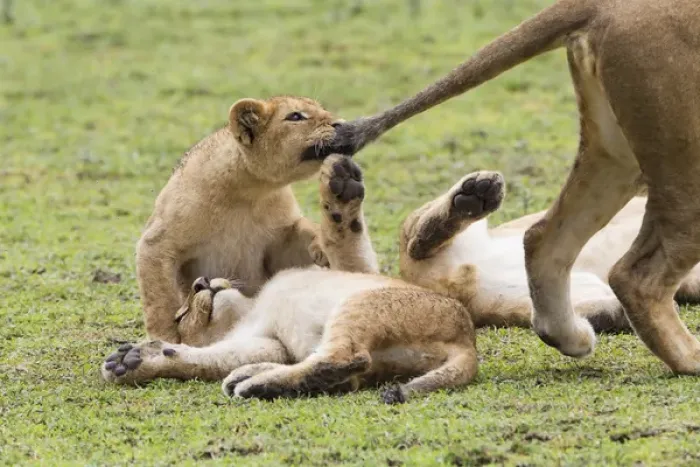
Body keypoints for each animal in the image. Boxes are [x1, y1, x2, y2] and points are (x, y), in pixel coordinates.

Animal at [103, 157, 479, 404]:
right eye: (182, 314)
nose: (202, 282)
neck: (248, 311)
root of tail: (466, 341)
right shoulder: (262, 341)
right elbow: (205, 356)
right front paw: (131, 361)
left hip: (361, 303)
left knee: (345, 358)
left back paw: (252, 382)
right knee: (346, 364)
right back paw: (254, 382)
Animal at [136, 96, 353, 345]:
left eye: (322, 109)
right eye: (295, 116)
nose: (342, 125)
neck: (249, 192)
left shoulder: (279, 240)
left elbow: (306, 228)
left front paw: (322, 247)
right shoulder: (157, 243)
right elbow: (159, 301)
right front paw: (164, 339)